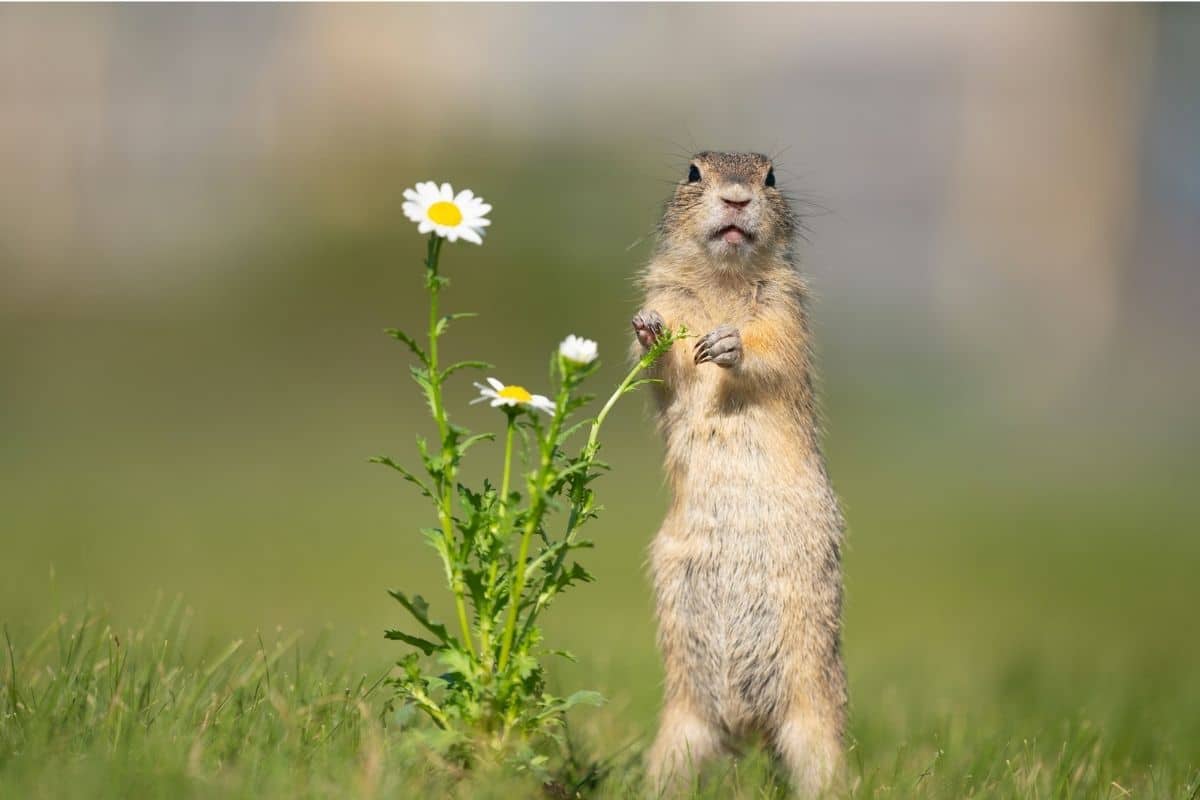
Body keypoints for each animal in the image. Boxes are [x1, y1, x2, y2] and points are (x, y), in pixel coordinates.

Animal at [631, 152, 847, 797]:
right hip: (682, 726)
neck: (722, 282)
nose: (734, 198)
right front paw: (647, 328)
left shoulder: (784, 311)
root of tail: (746, 724)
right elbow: (662, 371)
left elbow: (772, 353)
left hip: (814, 721)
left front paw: (728, 344)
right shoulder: (672, 296)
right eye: (693, 172)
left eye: (770, 176)